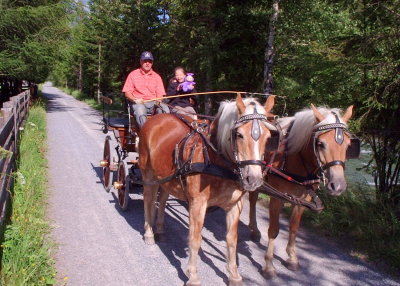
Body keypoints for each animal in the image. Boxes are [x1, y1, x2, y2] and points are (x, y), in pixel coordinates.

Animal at [139, 95, 276, 284]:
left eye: (268, 137)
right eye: (239, 135)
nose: (253, 179)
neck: (216, 160)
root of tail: (156, 118)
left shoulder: (235, 205)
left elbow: (232, 239)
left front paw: (234, 274)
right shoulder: (197, 204)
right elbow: (195, 238)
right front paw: (193, 276)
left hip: (167, 176)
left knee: (164, 198)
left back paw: (159, 229)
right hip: (148, 175)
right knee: (149, 200)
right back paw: (149, 233)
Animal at [248, 104, 354, 278]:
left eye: (348, 145)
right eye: (320, 143)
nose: (337, 186)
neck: (293, 157)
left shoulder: (302, 199)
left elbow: (294, 228)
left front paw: (292, 258)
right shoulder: (277, 198)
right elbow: (274, 230)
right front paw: (269, 265)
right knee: (251, 199)